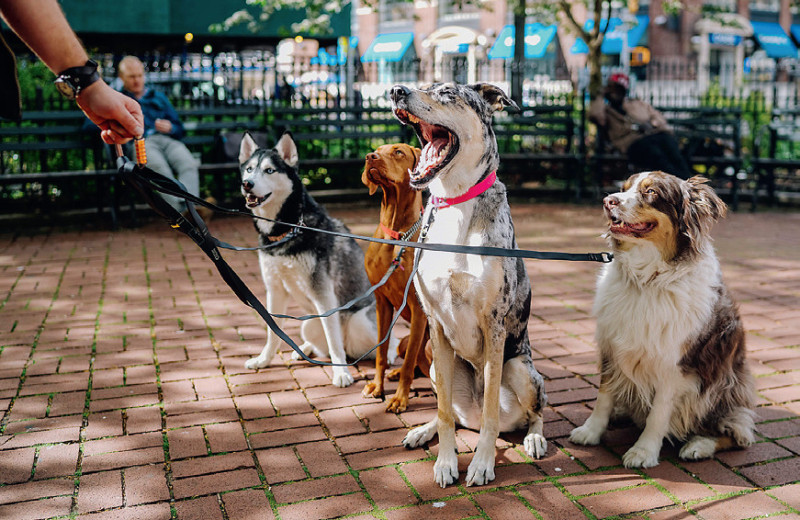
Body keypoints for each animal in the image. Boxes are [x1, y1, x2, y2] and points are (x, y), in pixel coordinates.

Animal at [362, 142, 432, 410]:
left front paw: (400, 398)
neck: (396, 235)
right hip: (403, 341)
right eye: (376, 149)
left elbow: (409, 363)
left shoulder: (418, 308)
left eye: (398, 152)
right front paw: (377, 386)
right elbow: (381, 354)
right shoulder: (381, 302)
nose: (370, 157)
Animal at [390, 84, 552, 488]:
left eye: (448, 92)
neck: (456, 202)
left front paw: (481, 463)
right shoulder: (435, 325)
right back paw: (423, 431)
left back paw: (534, 438)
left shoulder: (493, 325)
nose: (397, 90)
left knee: (533, 413)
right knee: (453, 411)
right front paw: (447, 462)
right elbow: (445, 413)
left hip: (521, 370)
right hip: (435, 365)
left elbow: (492, 411)